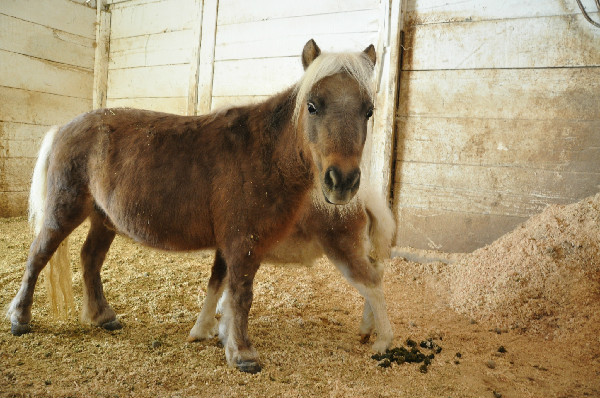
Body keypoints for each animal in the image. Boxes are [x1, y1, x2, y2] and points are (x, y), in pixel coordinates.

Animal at [9, 40, 396, 374]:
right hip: (65, 210)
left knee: (90, 258)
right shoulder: (243, 244)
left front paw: (215, 335)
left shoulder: (233, 243)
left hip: (104, 219)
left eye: (368, 111)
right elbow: (240, 295)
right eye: (313, 106)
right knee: (38, 255)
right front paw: (242, 353)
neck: (264, 154)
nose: (342, 181)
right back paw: (20, 319)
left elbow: (222, 288)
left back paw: (104, 317)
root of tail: (64, 128)